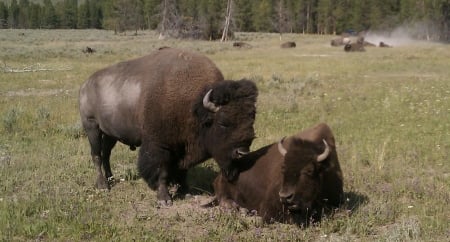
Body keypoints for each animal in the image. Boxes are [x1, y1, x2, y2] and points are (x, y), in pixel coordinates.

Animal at [79, 46, 258, 204]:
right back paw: (103, 185)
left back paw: (111, 178)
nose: (242, 152)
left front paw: (185, 192)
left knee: (106, 154)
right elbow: (162, 171)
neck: (193, 105)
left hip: (110, 134)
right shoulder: (160, 146)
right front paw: (164, 199)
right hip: (92, 128)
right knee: (96, 155)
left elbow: (182, 171)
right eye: (222, 122)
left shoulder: (183, 146)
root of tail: (85, 85)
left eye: (252, 119)